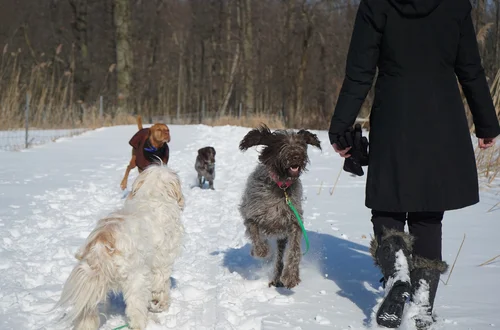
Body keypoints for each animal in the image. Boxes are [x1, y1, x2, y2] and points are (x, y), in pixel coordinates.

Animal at [54, 166, 187, 328]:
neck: (153, 196)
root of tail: (101, 243)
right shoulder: (162, 263)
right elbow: (161, 285)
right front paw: (160, 304)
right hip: (136, 280)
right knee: (136, 310)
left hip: (94, 288)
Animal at [238, 124, 320, 288]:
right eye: (282, 144)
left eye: (301, 144)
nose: (296, 156)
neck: (281, 187)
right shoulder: (252, 217)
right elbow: (256, 235)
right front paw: (262, 251)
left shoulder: (294, 223)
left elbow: (294, 250)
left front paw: (291, 276)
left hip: (281, 238)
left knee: (280, 259)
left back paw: (277, 277)